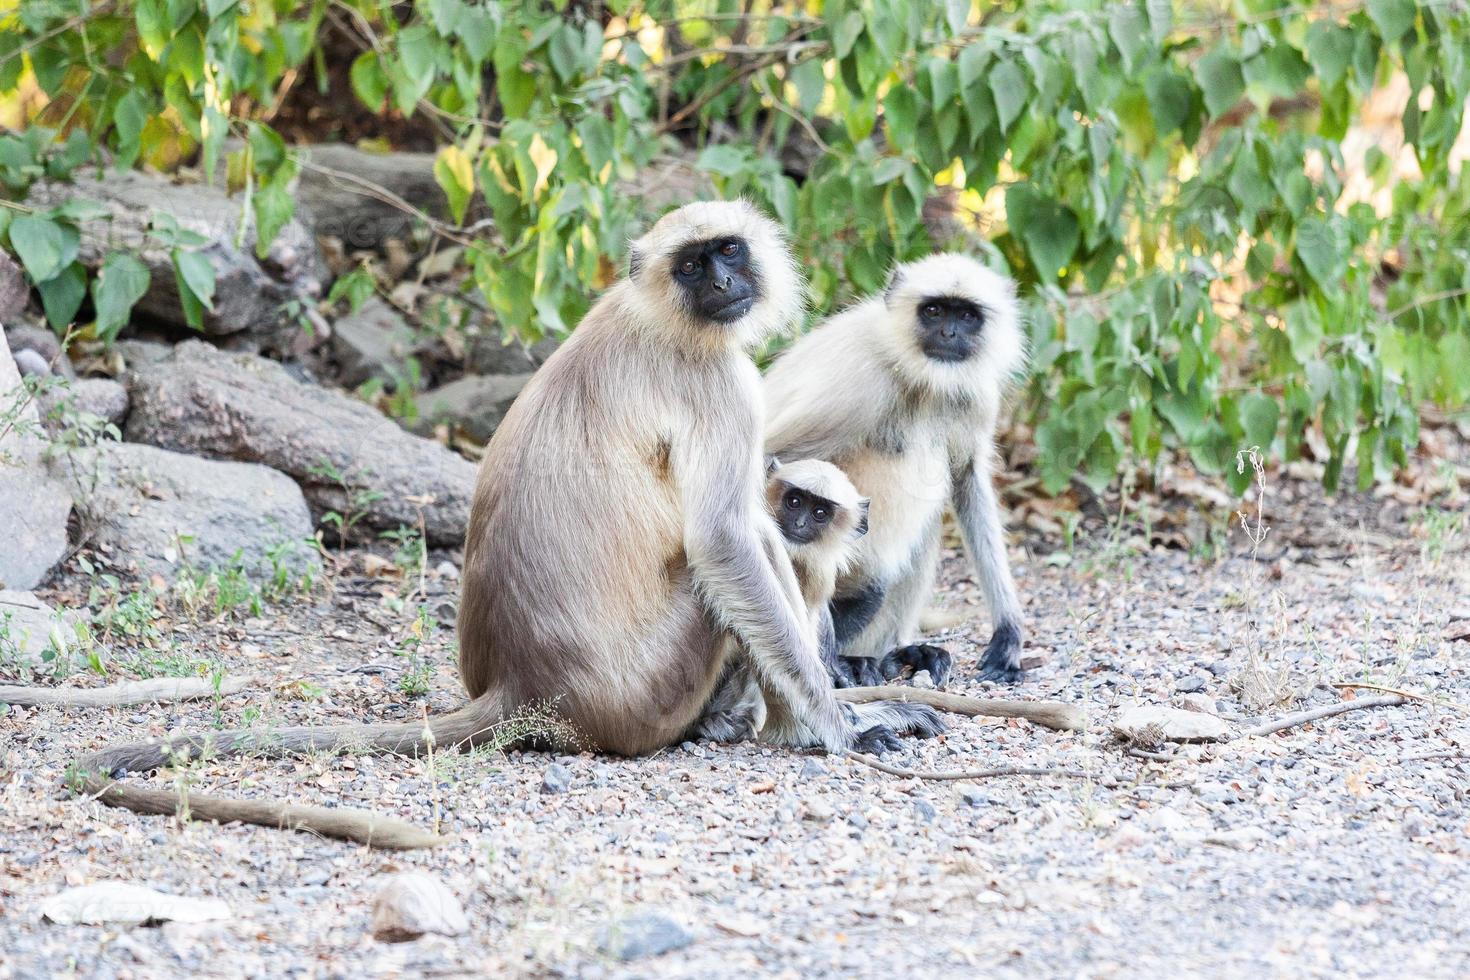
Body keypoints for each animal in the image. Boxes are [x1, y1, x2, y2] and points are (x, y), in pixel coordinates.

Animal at [71, 199, 940, 846]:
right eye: (693, 266)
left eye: (728, 250)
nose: (725, 278)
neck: (657, 316)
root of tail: (525, 688)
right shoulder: (716, 379)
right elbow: (724, 541)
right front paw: (837, 726)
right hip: (651, 688)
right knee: (743, 552)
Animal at [764, 252, 1029, 687]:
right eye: (934, 310)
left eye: (967, 315)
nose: (949, 333)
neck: (922, 379)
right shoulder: (857, 384)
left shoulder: (976, 398)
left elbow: (967, 480)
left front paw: (1008, 633)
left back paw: (895, 653)